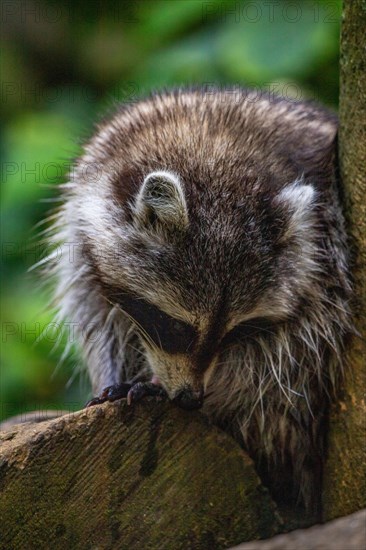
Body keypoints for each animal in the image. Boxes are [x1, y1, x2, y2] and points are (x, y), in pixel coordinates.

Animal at [45, 86, 352, 512]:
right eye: (177, 326)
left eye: (235, 332)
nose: (190, 399)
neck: (219, 147)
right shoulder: (82, 212)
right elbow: (97, 315)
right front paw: (118, 374)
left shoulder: (326, 261)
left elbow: (281, 371)